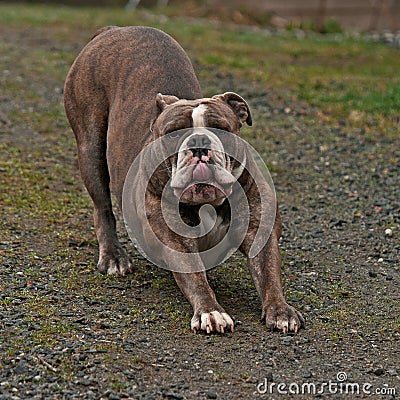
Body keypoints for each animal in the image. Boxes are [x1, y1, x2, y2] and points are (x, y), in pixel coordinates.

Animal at [65, 25, 304, 334]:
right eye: (174, 133)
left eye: (221, 128)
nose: (199, 143)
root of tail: (113, 29)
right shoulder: (176, 244)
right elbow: (196, 280)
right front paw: (211, 312)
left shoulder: (260, 232)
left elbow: (269, 274)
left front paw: (280, 310)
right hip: (91, 147)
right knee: (102, 207)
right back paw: (114, 257)